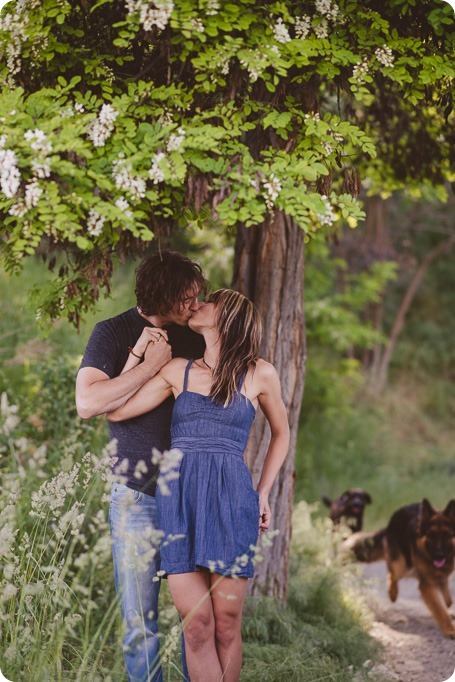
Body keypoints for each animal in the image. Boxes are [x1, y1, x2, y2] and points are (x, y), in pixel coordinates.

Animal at [348, 496, 455, 636]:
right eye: (431, 535)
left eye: (446, 535)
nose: (439, 555)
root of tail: (391, 522)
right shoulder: (426, 586)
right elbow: (439, 610)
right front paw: (450, 629)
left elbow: (446, 594)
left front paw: (448, 602)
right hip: (402, 565)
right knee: (392, 572)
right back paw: (392, 593)